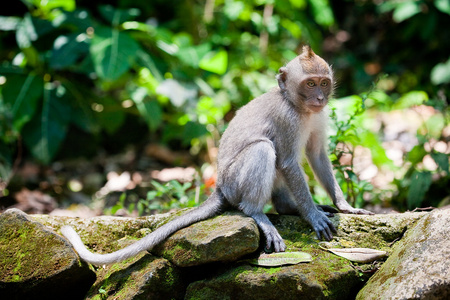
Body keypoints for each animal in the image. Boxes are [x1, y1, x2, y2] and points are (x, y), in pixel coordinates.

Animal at [61, 45, 374, 266]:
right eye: (310, 84)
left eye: (323, 83)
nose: (320, 98)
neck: (297, 104)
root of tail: (221, 187)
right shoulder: (287, 118)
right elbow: (287, 161)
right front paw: (312, 215)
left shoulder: (318, 116)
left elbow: (317, 154)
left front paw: (345, 206)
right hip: (235, 183)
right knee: (263, 149)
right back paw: (258, 213)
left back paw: (287, 207)